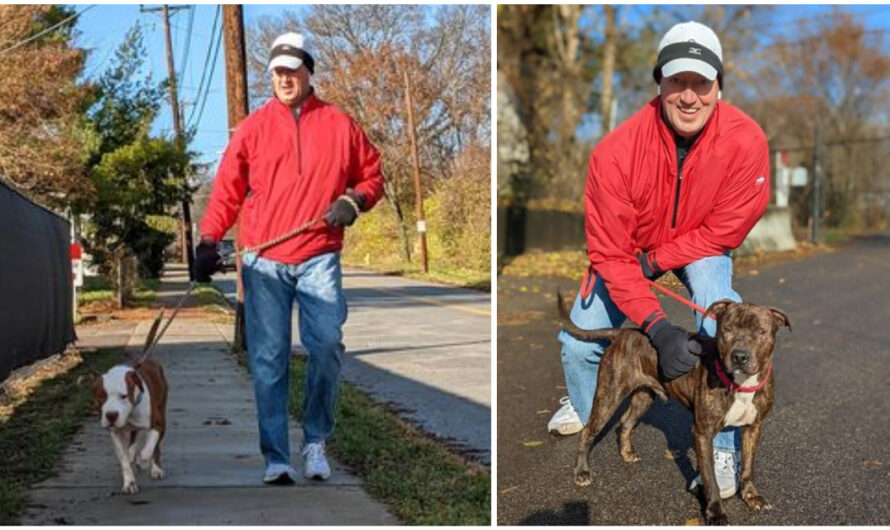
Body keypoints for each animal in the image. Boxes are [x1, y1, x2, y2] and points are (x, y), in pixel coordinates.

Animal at [93, 356, 168, 492]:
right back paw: (132, 453)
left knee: (155, 447)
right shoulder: (115, 433)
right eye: (101, 396)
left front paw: (142, 462)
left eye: (124, 396)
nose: (111, 415)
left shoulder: (159, 425)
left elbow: (147, 451)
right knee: (134, 437)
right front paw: (129, 483)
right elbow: (124, 459)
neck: (130, 414)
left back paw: (155, 468)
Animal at [560, 292, 788, 524]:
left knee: (625, 422)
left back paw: (626, 452)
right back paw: (582, 472)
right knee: (588, 431)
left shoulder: (753, 427)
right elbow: (710, 478)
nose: (740, 356)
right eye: (727, 329)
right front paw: (716, 512)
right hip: (608, 396)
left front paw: (752, 497)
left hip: (643, 397)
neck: (741, 383)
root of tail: (624, 333)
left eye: (761, 331)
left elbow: (749, 467)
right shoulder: (702, 433)